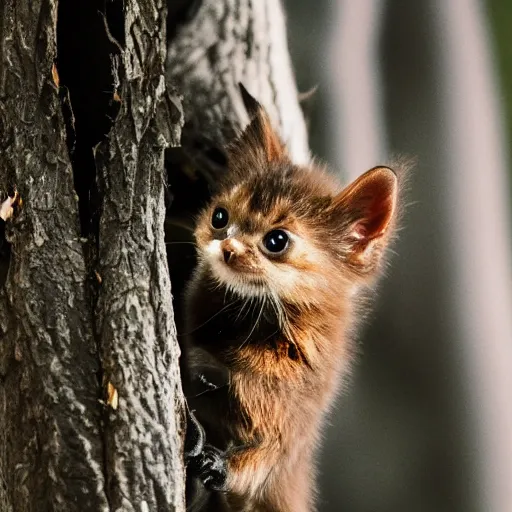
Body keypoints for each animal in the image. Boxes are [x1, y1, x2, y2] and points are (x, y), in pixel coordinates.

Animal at [182, 86, 402, 510]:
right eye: (220, 217)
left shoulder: (291, 427)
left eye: (276, 241)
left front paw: (214, 457)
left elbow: (258, 463)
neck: (250, 322)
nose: (228, 249)